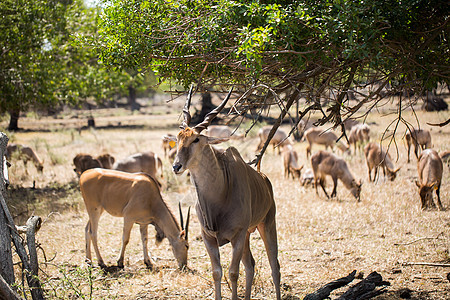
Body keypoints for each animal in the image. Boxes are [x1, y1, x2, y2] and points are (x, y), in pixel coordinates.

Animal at [165, 86, 282, 300]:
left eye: (196, 139)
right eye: (178, 139)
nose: (176, 166)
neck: (221, 192)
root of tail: (264, 179)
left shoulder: (237, 236)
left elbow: (233, 273)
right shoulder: (209, 238)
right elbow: (217, 272)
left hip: (266, 225)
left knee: (274, 266)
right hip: (248, 235)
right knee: (251, 265)